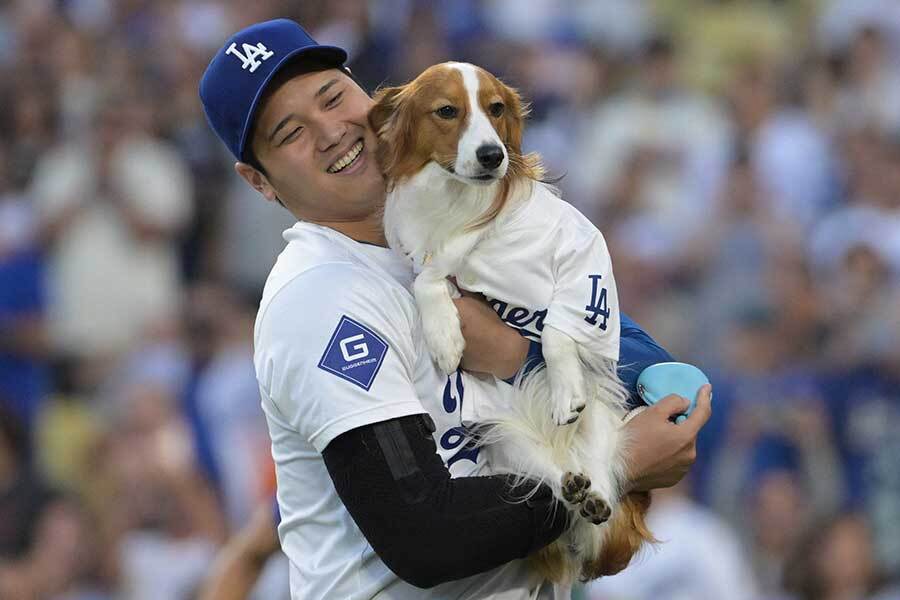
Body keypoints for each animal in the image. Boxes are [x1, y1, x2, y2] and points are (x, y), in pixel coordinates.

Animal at [368, 61, 652, 580]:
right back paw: (572, 486)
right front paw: (445, 337)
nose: (491, 155)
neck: (460, 204)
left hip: (604, 416)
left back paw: (595, 494)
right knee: (554, 479)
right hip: (504, 438)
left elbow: (559, 331)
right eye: (447, 111)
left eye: (496, 108)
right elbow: (428, 280)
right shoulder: (429, 261)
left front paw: (564, 389)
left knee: (600, 472)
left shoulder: (583, 257)